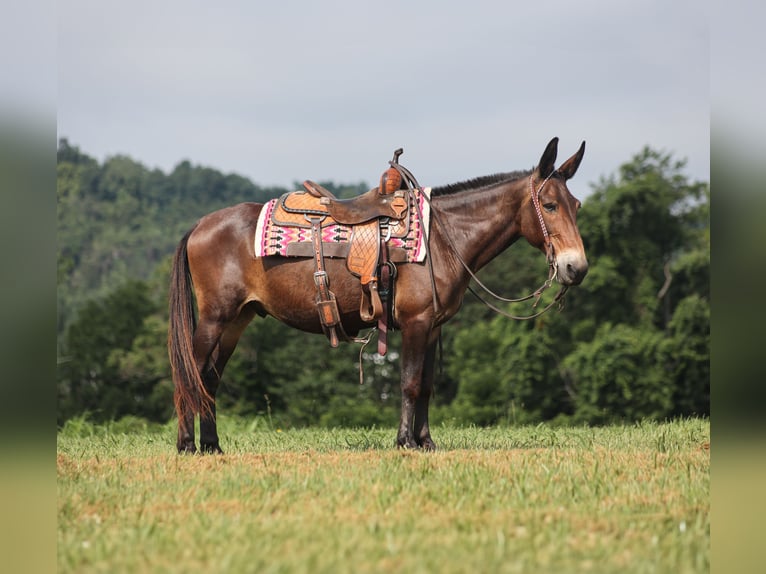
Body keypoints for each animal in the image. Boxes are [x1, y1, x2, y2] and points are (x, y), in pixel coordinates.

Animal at [168, 137, 588, 453]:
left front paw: (426, 442)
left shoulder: (433, 327)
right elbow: (411, 382)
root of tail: (200, 225)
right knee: (190, 373)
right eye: (549, 205)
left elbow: (427, 385)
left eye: (577, 205)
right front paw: (406, 442)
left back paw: (213, 446)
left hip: (236, 320)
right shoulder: (417, 322)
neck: (443, 237)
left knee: (209, 379)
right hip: (215, 317)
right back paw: (188, 445)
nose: (576, 267)